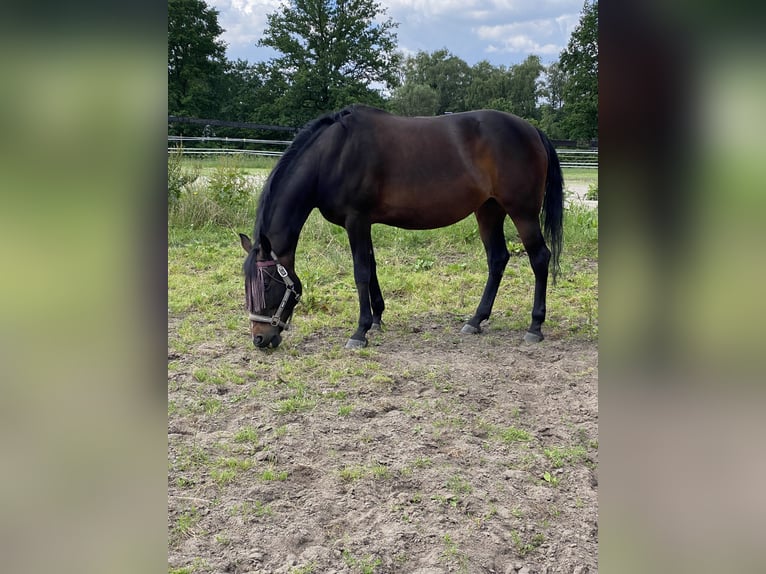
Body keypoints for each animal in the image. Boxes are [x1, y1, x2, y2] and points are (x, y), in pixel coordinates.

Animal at [240, 106, 564, 354]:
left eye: (266, 285)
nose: (260, 339)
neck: (333, 156)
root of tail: (531, 130)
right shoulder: (364, 223)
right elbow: (371, 268)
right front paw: (377, 319)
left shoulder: (356, 221)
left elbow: (361, 272)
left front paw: (359, 332)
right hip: (488, 210)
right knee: (497, 259)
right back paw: (475, 320)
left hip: (522, 212)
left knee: (539, 258)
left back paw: (535, 326)